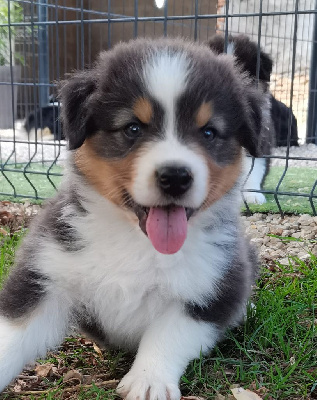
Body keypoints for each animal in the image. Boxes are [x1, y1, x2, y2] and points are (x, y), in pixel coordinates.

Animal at [0, 38, 260, 400]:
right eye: (132, 128)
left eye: (209, 132)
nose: (175, 177)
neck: (136, 242)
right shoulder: (46, 273)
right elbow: (14, 334)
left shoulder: (212, 288)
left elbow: (168, 333)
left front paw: (148, 381)